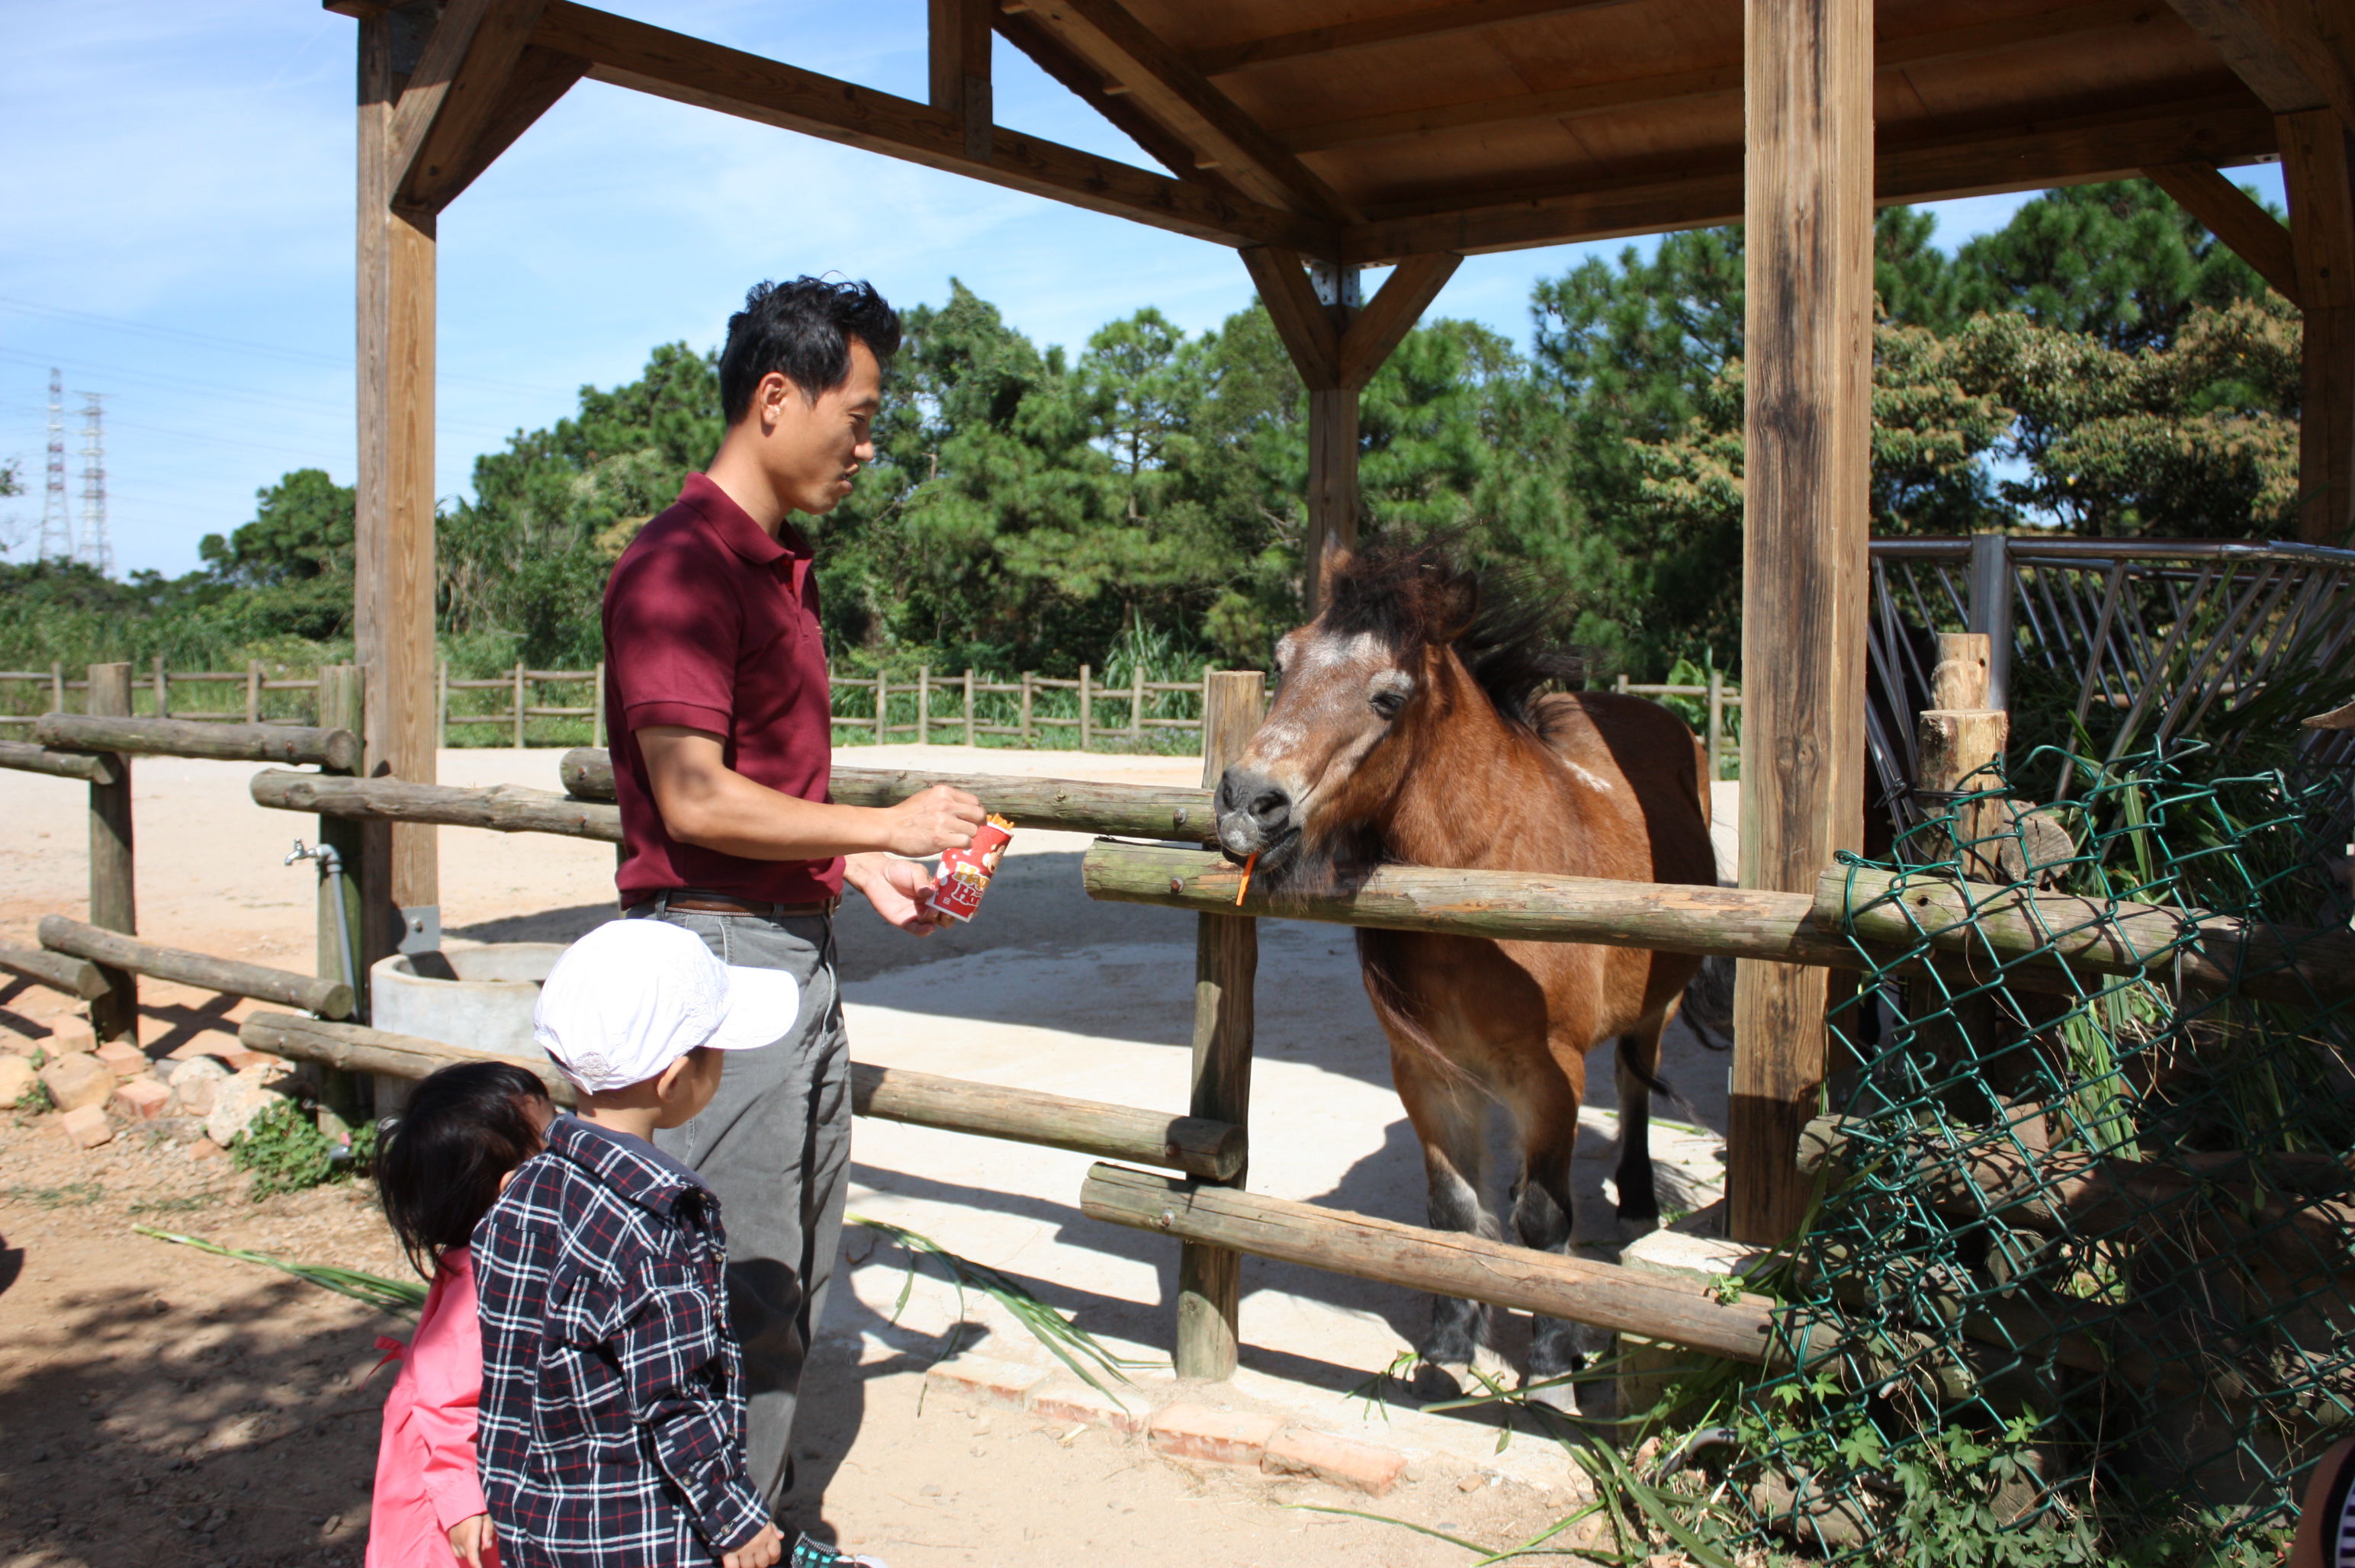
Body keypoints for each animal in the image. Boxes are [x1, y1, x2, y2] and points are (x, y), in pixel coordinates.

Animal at [1215, 536, 1714, 1403]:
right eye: (1281, 660)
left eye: (1389, 696)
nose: (1248, 803)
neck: (1484, 880)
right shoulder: (1427, 1070)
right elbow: (1454, 1211)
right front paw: (1449, 1346)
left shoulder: (1549, 1073)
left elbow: (1545, 1219)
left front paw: (1550, 1362)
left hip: (1650, 1010)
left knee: (1632, 1086)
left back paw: (1638, 1200)